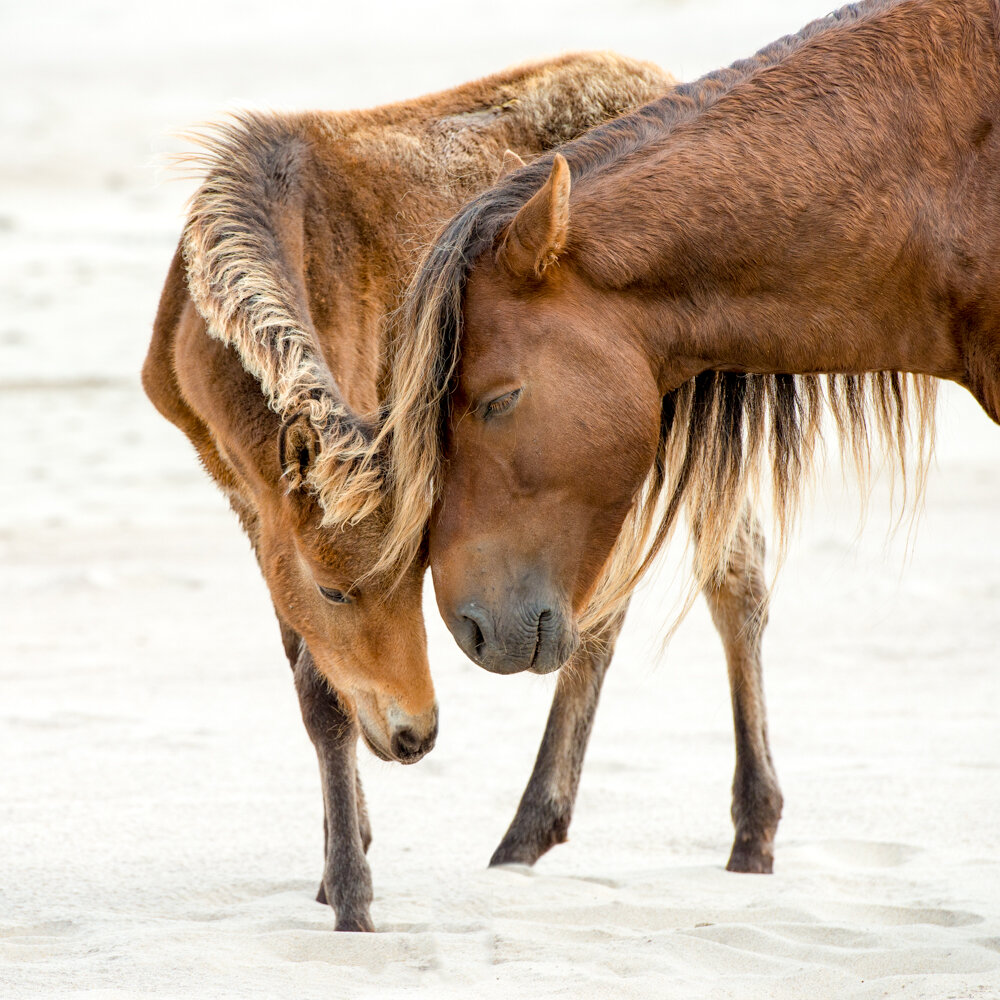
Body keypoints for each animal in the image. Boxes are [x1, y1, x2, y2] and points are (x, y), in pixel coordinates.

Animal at [142, 54, 676, 931]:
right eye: (334, 587)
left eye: (419, 571)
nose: (415, 736)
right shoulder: (252, 505)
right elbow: (317, 683)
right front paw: (344, 864)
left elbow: (322, 690)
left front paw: (351, 894)